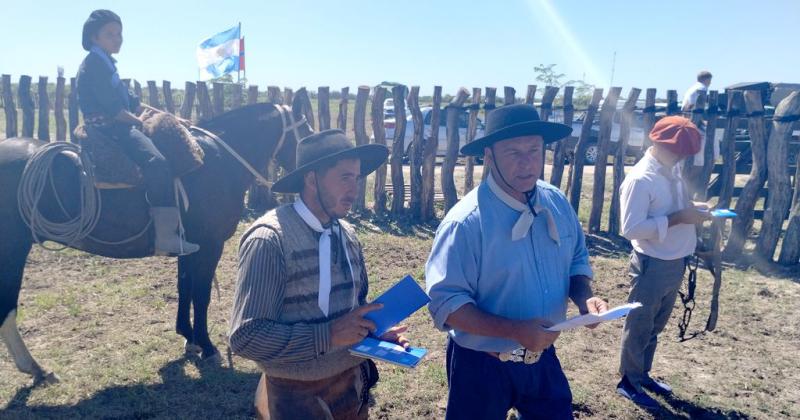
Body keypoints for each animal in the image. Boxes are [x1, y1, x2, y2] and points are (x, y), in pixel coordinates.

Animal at [0, 93, 312, 386]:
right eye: (307, 130)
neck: (217, 162)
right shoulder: (210, 245)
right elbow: (201, 295)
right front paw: (208, 347)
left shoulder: (190, 246)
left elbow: (185, 288)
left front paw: (189, 338)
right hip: (12, 250)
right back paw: (36, 368)